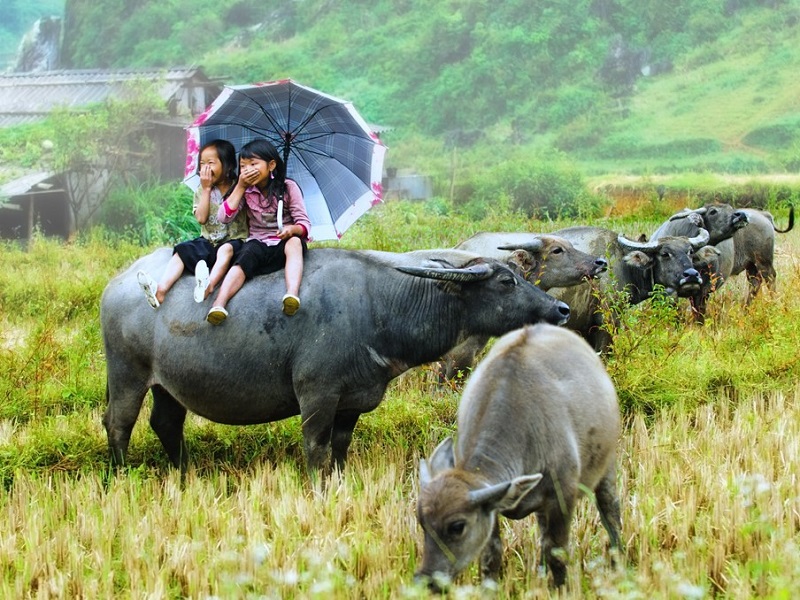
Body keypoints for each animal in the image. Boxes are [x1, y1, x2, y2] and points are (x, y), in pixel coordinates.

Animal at [101, 247, 568, 474]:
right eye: (506, 281)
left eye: (522, 275)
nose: (560, 310)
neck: (379, 307)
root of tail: (116, 283)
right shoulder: (318, 395)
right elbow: (315, 447)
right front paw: (316, 485)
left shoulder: (352, 401)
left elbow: (340, 447)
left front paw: (338, 480)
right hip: (128, 376)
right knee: (119, 424)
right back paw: (122, 474)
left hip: (168, 385)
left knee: (166, 423)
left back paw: (182, 472)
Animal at [416, 324, 620, 592]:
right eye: (421, 522)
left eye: (457, 526)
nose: (428, 580)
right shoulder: (492, 508)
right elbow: (491, 556)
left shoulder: (562, 497)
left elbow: (557, 553)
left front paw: (560, 589)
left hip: (607, 468)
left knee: (611, 513)